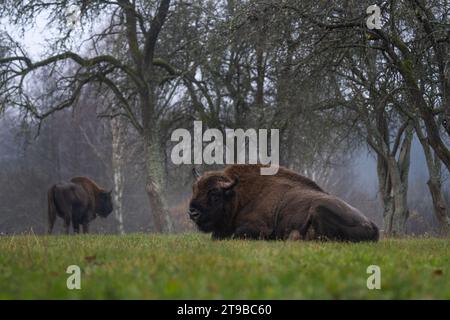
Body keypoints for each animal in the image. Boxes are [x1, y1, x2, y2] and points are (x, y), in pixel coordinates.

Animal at [188, 164, 378, 241]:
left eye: (215, 194)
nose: (193, 212)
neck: (239, 197)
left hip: (319, 209)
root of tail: (373, 226)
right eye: (194, 189)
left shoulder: (259, 228)